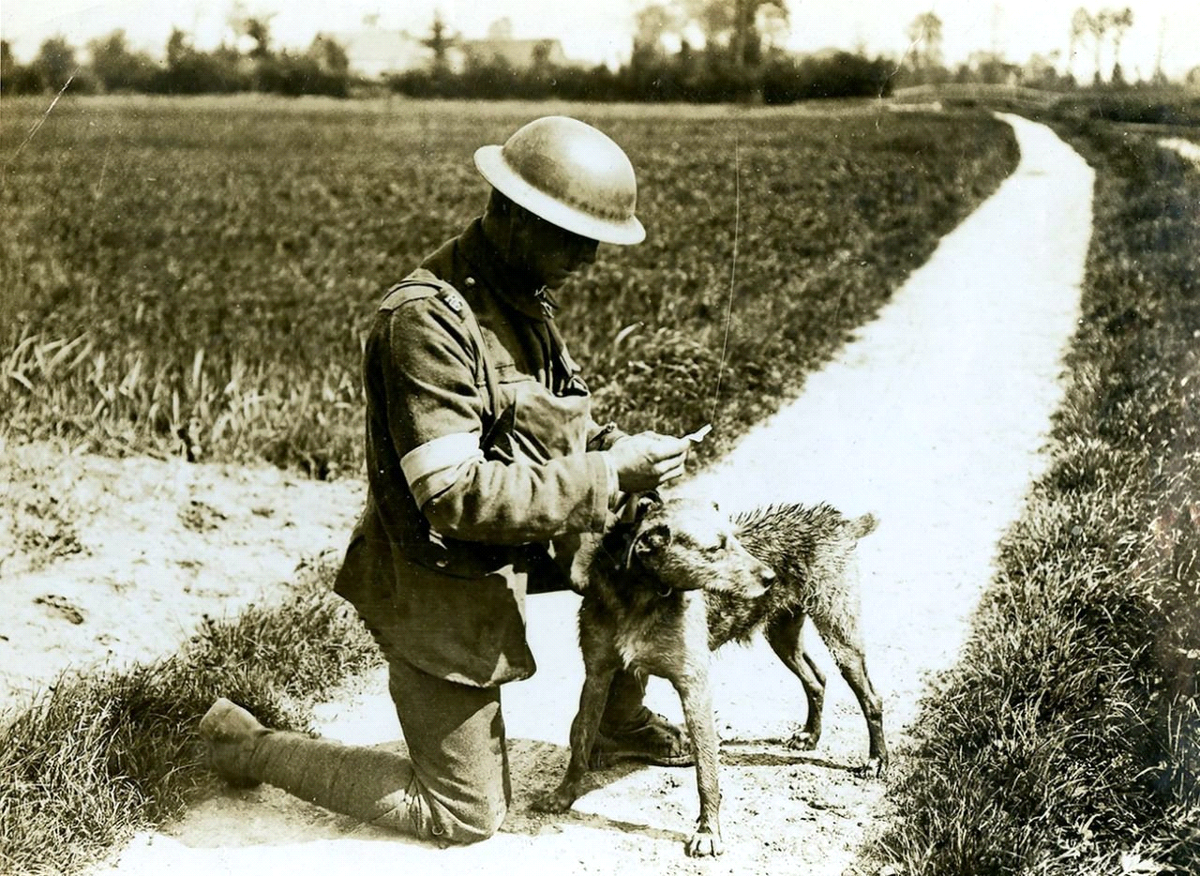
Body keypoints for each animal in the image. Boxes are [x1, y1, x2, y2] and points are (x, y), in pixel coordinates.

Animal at [540, 494, 888, 854]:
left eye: (734, 539)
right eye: (716, 548)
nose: (771, 577)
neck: (640, 595)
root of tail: (838, 522)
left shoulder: (694, 685)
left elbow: (707, 774)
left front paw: (708, 832)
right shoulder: (596, 675)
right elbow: (581, 741)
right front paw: (564, 794)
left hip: (840, 634)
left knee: (870, 698)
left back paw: (876, 760)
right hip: (783, 632)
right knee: (816, 679)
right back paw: (810, 734)